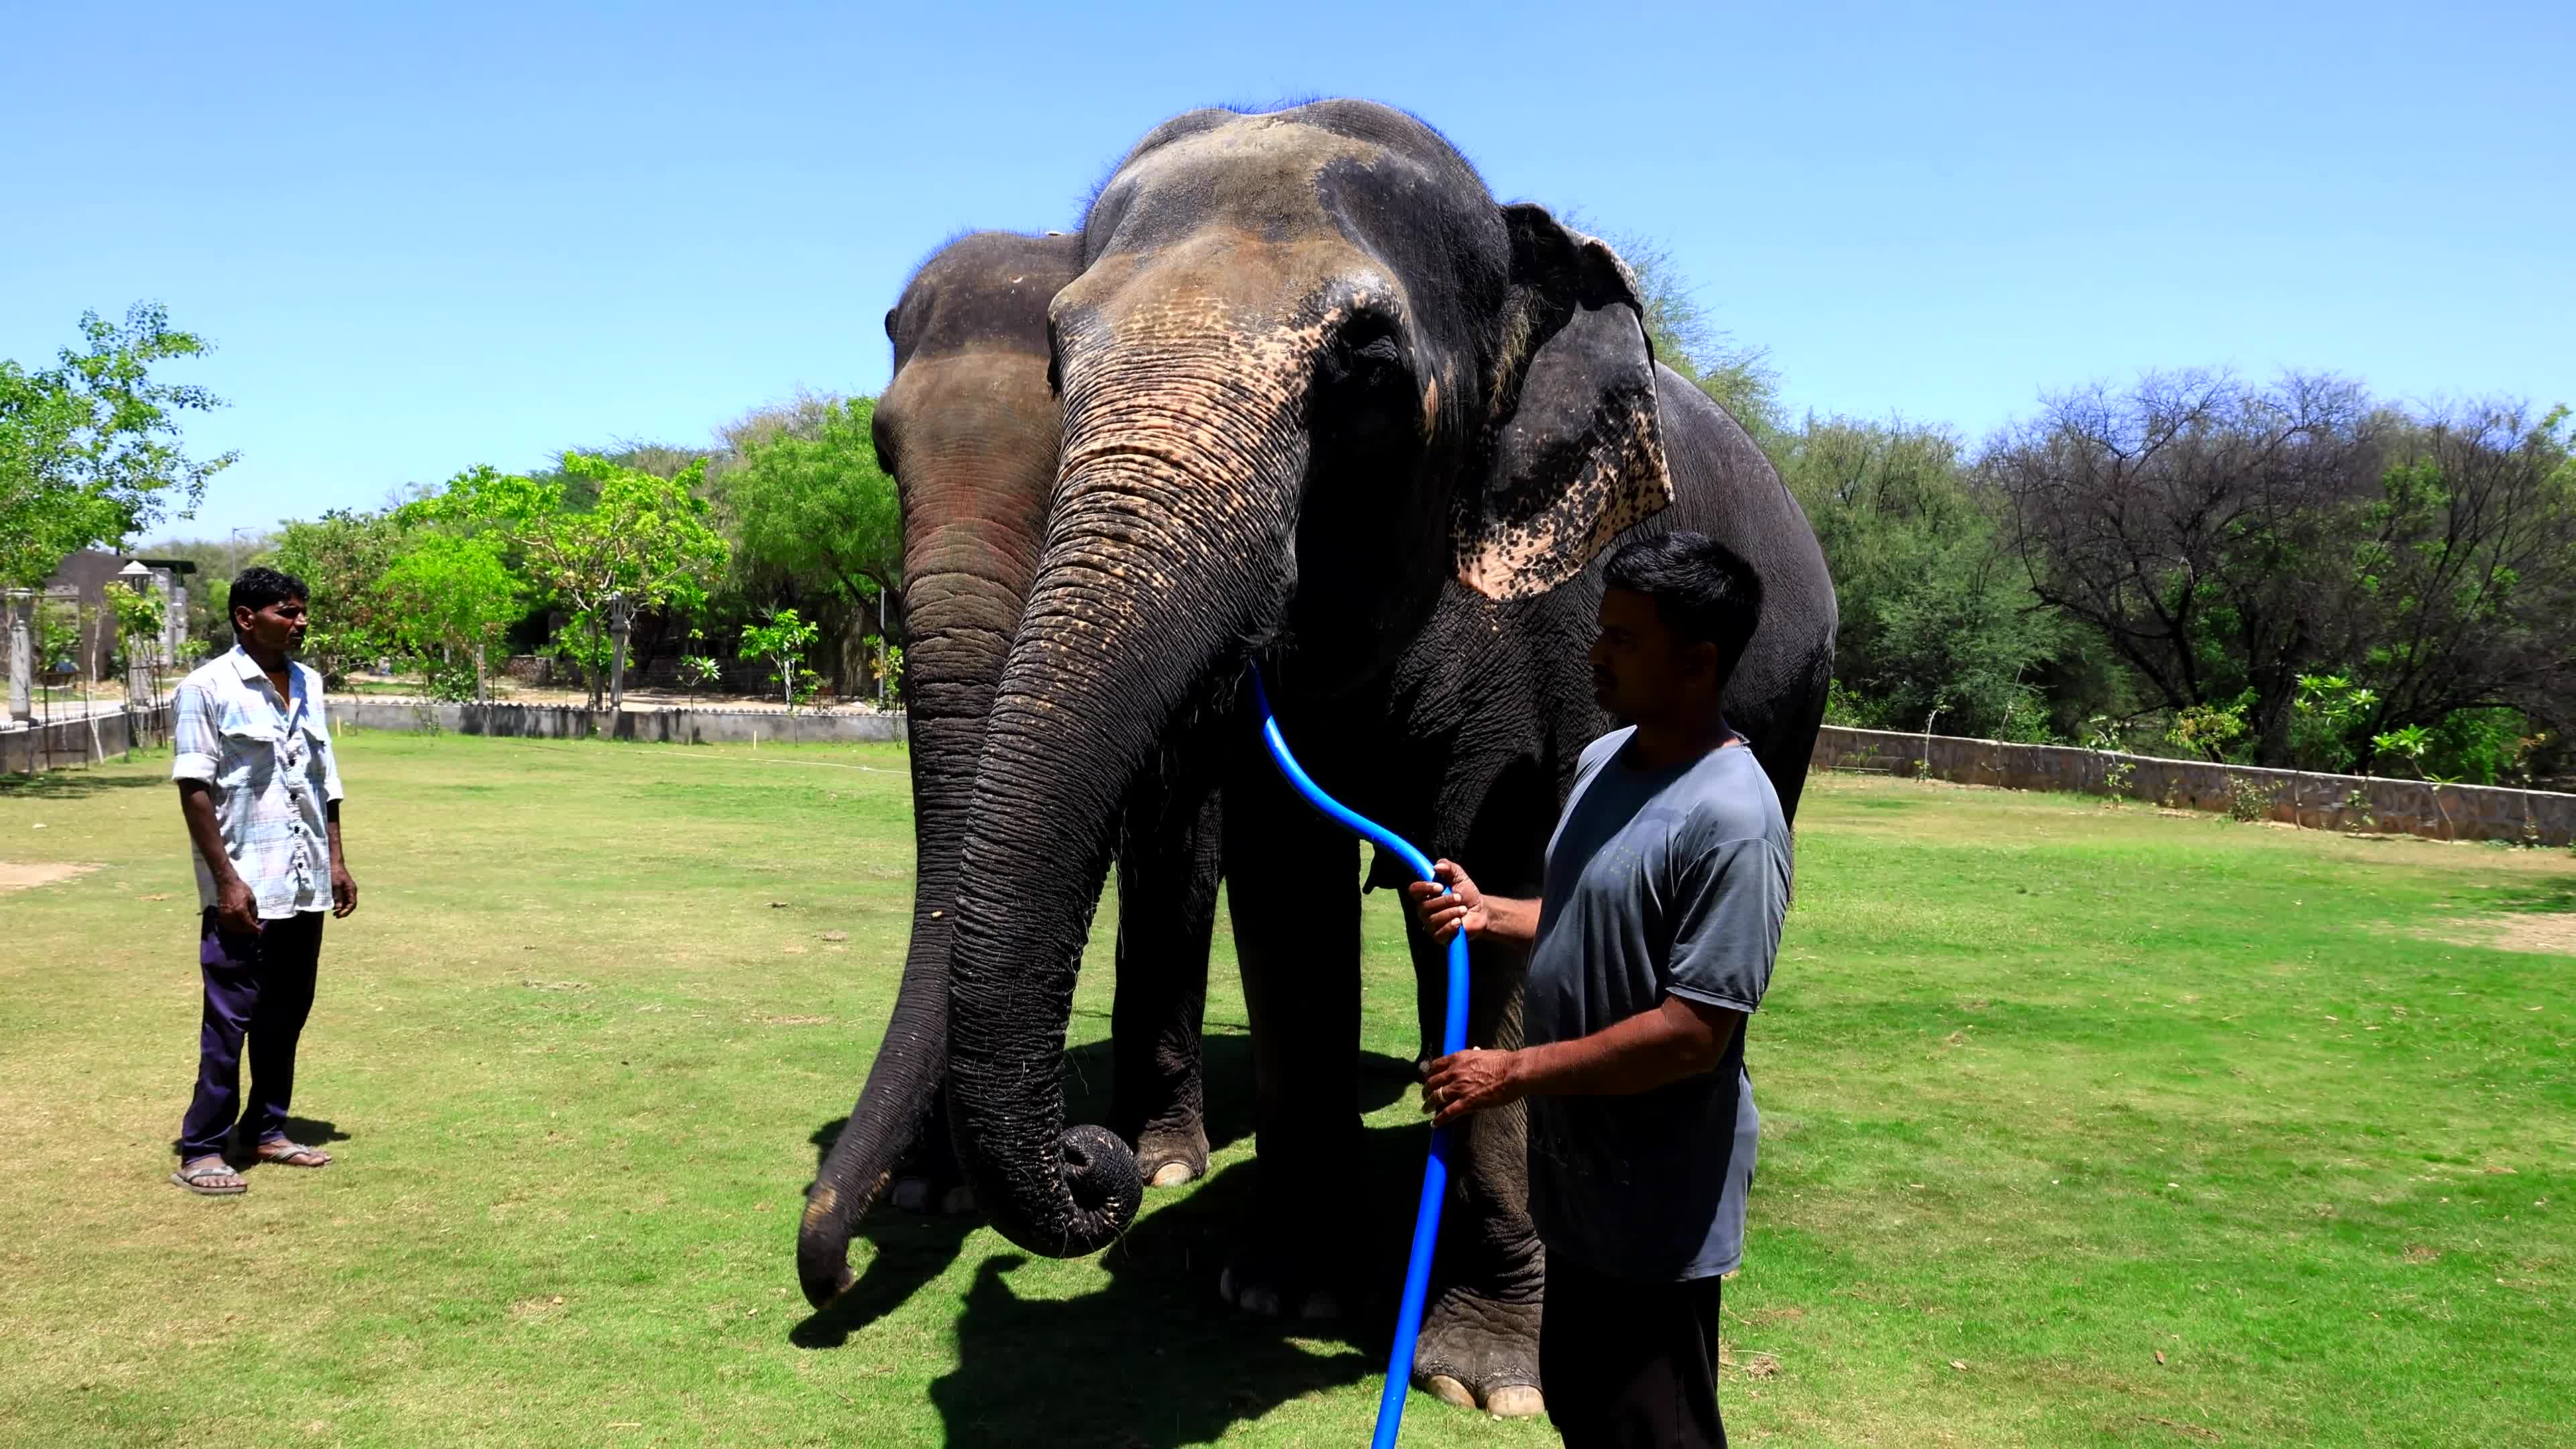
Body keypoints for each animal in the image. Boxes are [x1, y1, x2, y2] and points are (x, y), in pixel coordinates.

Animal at [935, 99, 1837, 1417]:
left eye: (1363, 365)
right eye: (1056, 358)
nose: (1095, 1160)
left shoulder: (1559, 638)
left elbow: (1509, 898)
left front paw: (1486, 1379)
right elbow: (1288, 897)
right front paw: (1278, 1294)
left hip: (1796, 695)